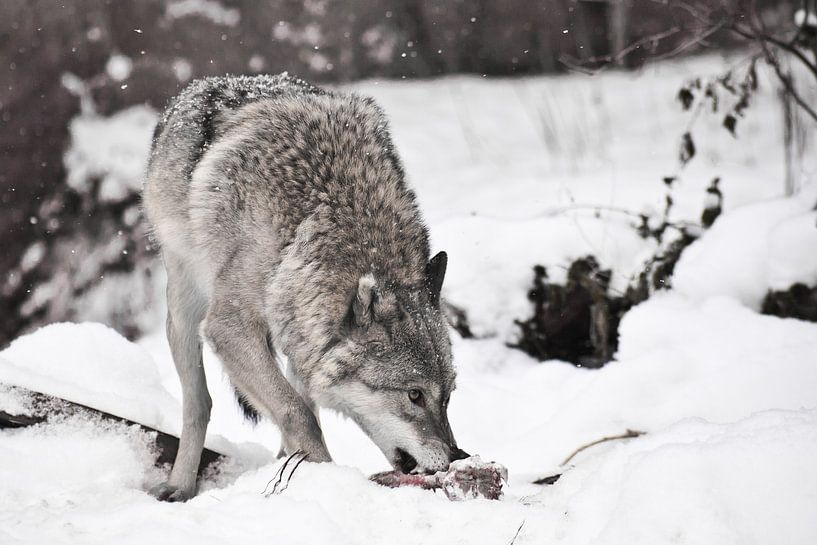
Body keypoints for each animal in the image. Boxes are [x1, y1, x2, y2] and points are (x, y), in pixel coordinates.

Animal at [142, 73, 467, 501]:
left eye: (447, 396)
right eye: (414, 395)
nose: (458, 457)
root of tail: (204, 84)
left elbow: (301, 411)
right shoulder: (230, 328)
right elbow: (299, 415)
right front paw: (328, 483)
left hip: (294, 335)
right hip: (185, 307)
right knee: (199, 404)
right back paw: (179, 486)